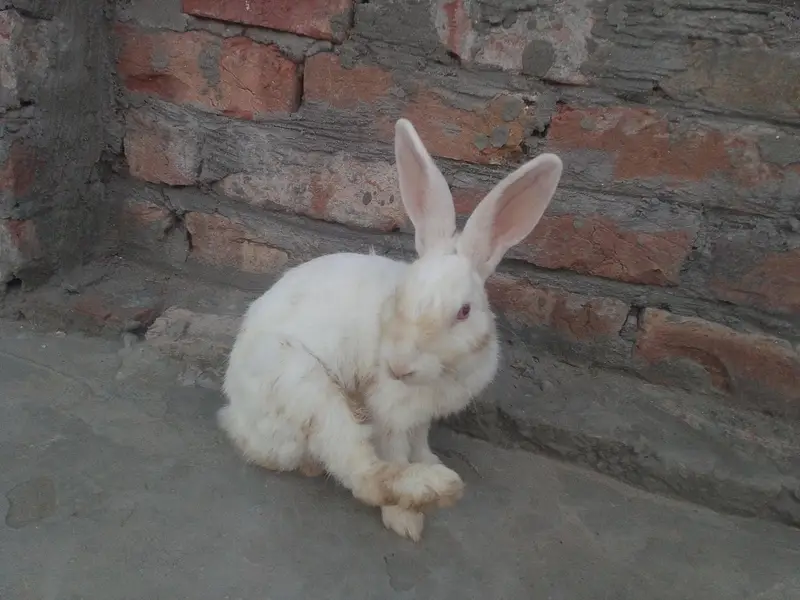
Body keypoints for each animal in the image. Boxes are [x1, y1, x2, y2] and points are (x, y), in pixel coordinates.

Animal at [219, 117, 563, 541]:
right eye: (402, 293)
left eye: (464, 311)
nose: (398, 367)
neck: (438, 375)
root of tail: (236, 418)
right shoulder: (389, 412)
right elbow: (394, 451)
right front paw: (404, 516)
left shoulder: (421, 417)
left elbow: (419, 441)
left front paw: (429, 459)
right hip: (305, 386)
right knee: (363, 473)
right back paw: (435, 489)